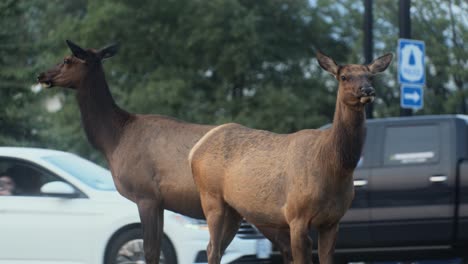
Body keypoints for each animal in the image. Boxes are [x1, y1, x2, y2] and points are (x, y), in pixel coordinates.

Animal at [38, 39, 296, 264]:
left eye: (67, 59)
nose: (41, 75)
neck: (112, 140)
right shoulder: (160, 202)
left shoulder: (146, 195)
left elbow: (150, 252)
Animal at [188, 51, 394, 264]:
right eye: (344, 77)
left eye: (370, 76)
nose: (367, 90)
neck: (333, 167)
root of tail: (195, 149)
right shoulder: (296, 216)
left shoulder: (332, 221)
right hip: (211, 197)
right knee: (212, 248)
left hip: (235, 210)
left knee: (219, 247)